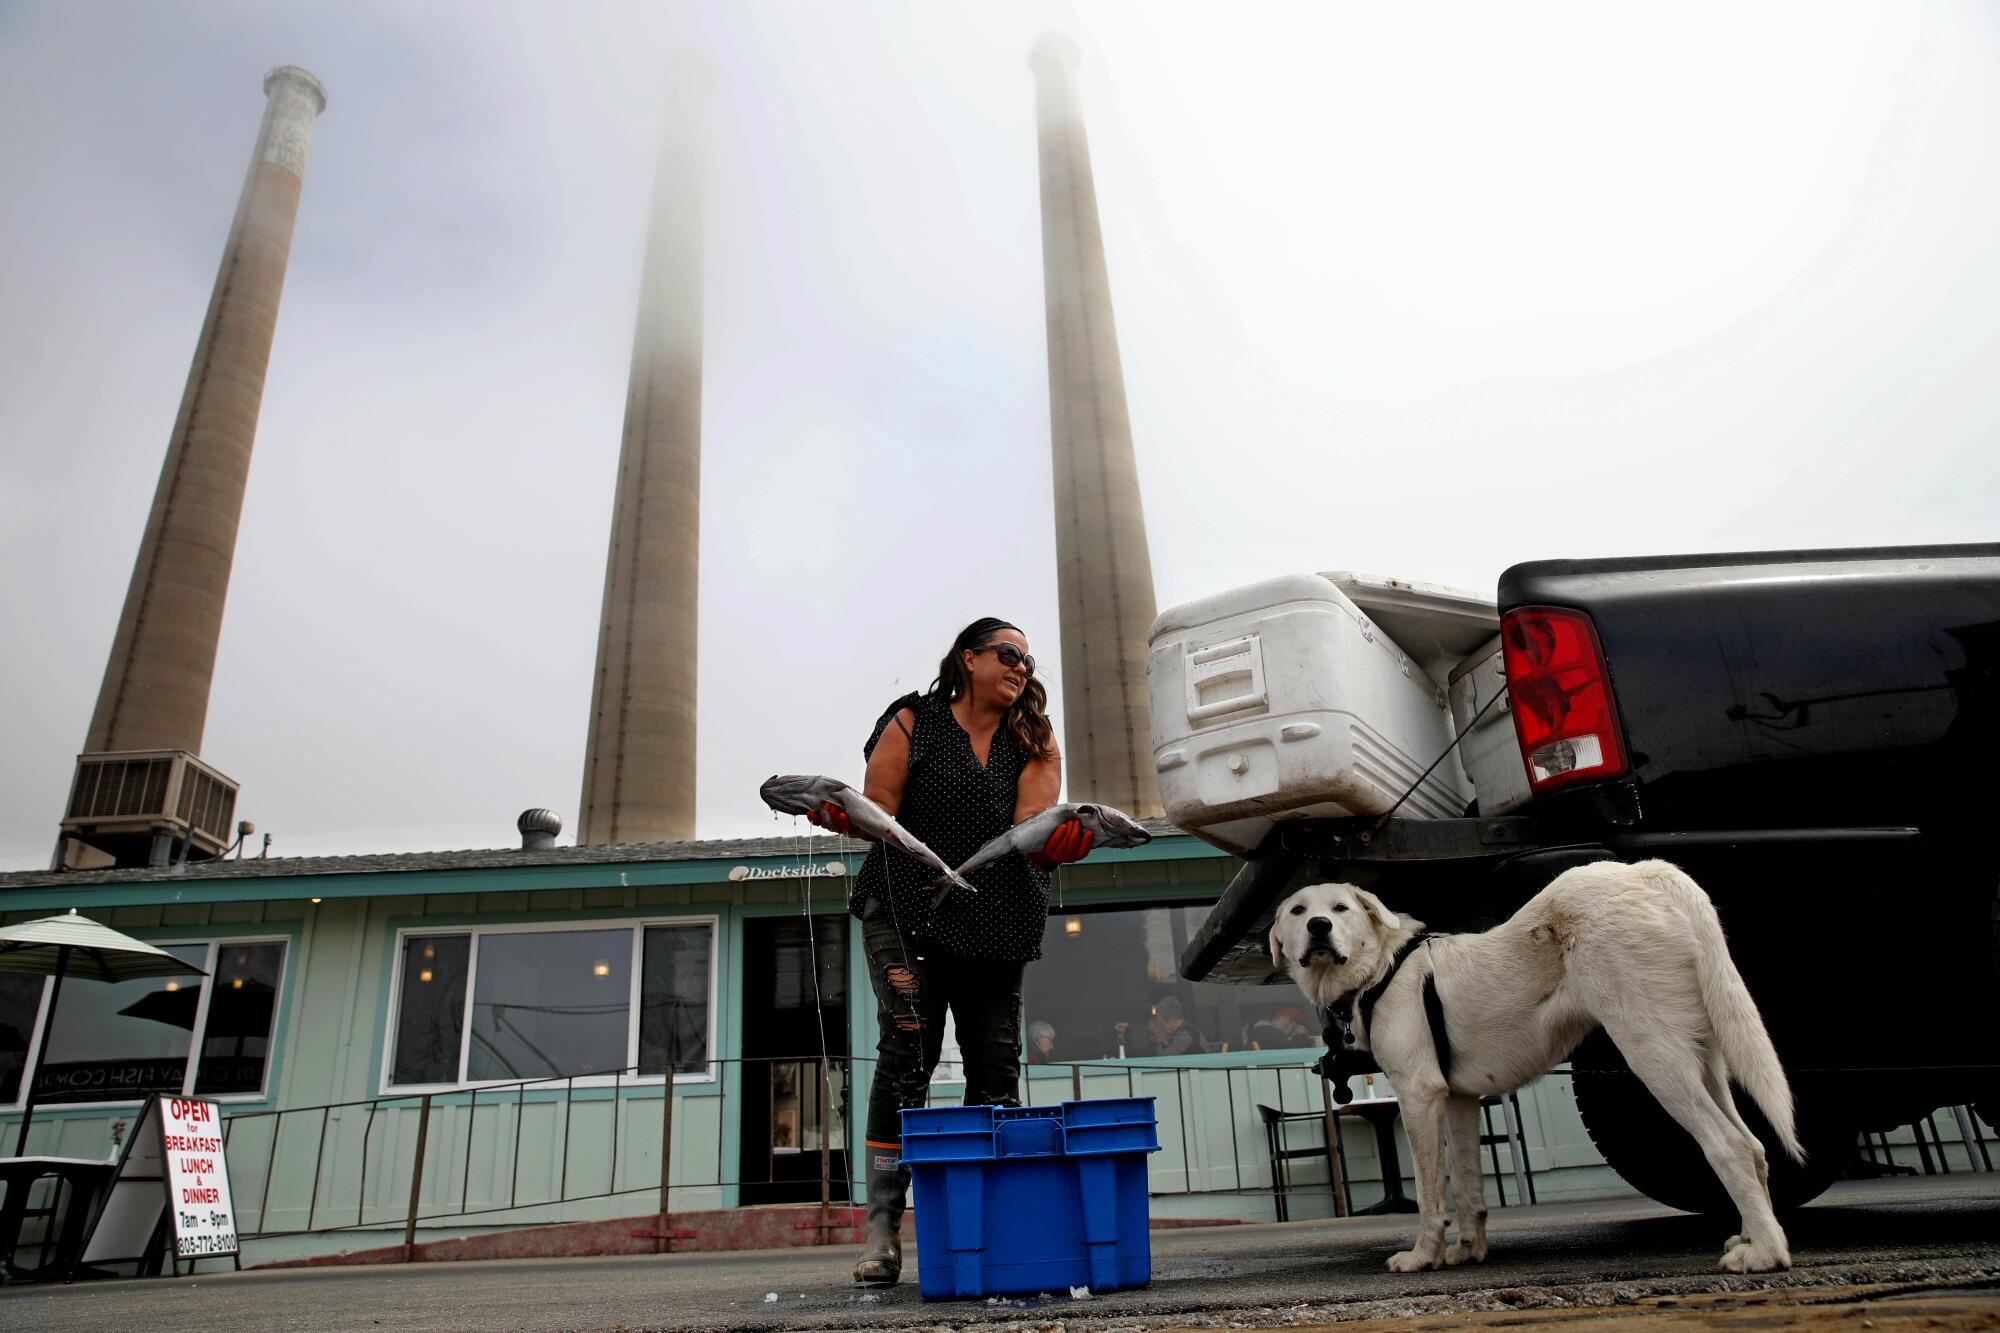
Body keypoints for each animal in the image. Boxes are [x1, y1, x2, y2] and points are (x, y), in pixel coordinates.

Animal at [1272, 856, 1808, 1272]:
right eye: (1298, 911)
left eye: (1340, 909)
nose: (1318, 928)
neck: (1381, 968)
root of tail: (1645, 871)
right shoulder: (1460, 1099)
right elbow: (1466, 1186)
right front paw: (1468, 1250)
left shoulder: (1419, 1095)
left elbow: (1428, 1192)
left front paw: (1423, 1257)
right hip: (1702, 1056)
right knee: (1754, 1145)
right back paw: (1754, 1236)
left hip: (1653, 1052)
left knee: (1728, 1146)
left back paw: (1765, 1254)